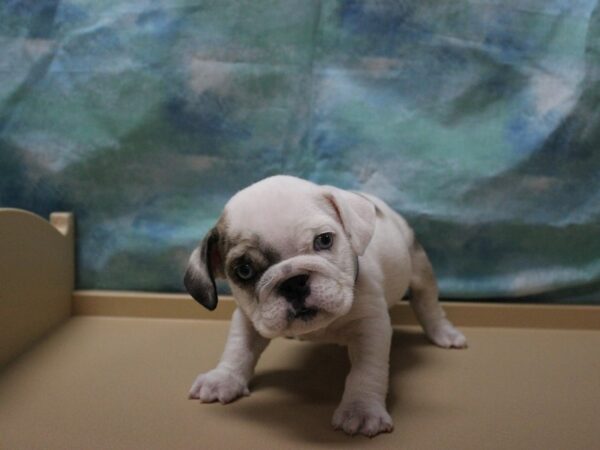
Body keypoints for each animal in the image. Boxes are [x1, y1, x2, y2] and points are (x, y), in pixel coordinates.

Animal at [185, 176, 466, 436]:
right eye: (243, 270)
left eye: (324, 240)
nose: (293, 281)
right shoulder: (248, 319)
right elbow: (238, 348)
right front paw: (224, 378)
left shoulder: (371, 328)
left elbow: (366, 370)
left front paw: (361, 409)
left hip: (418, 265)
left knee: (427, 303)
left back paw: (444, 333)